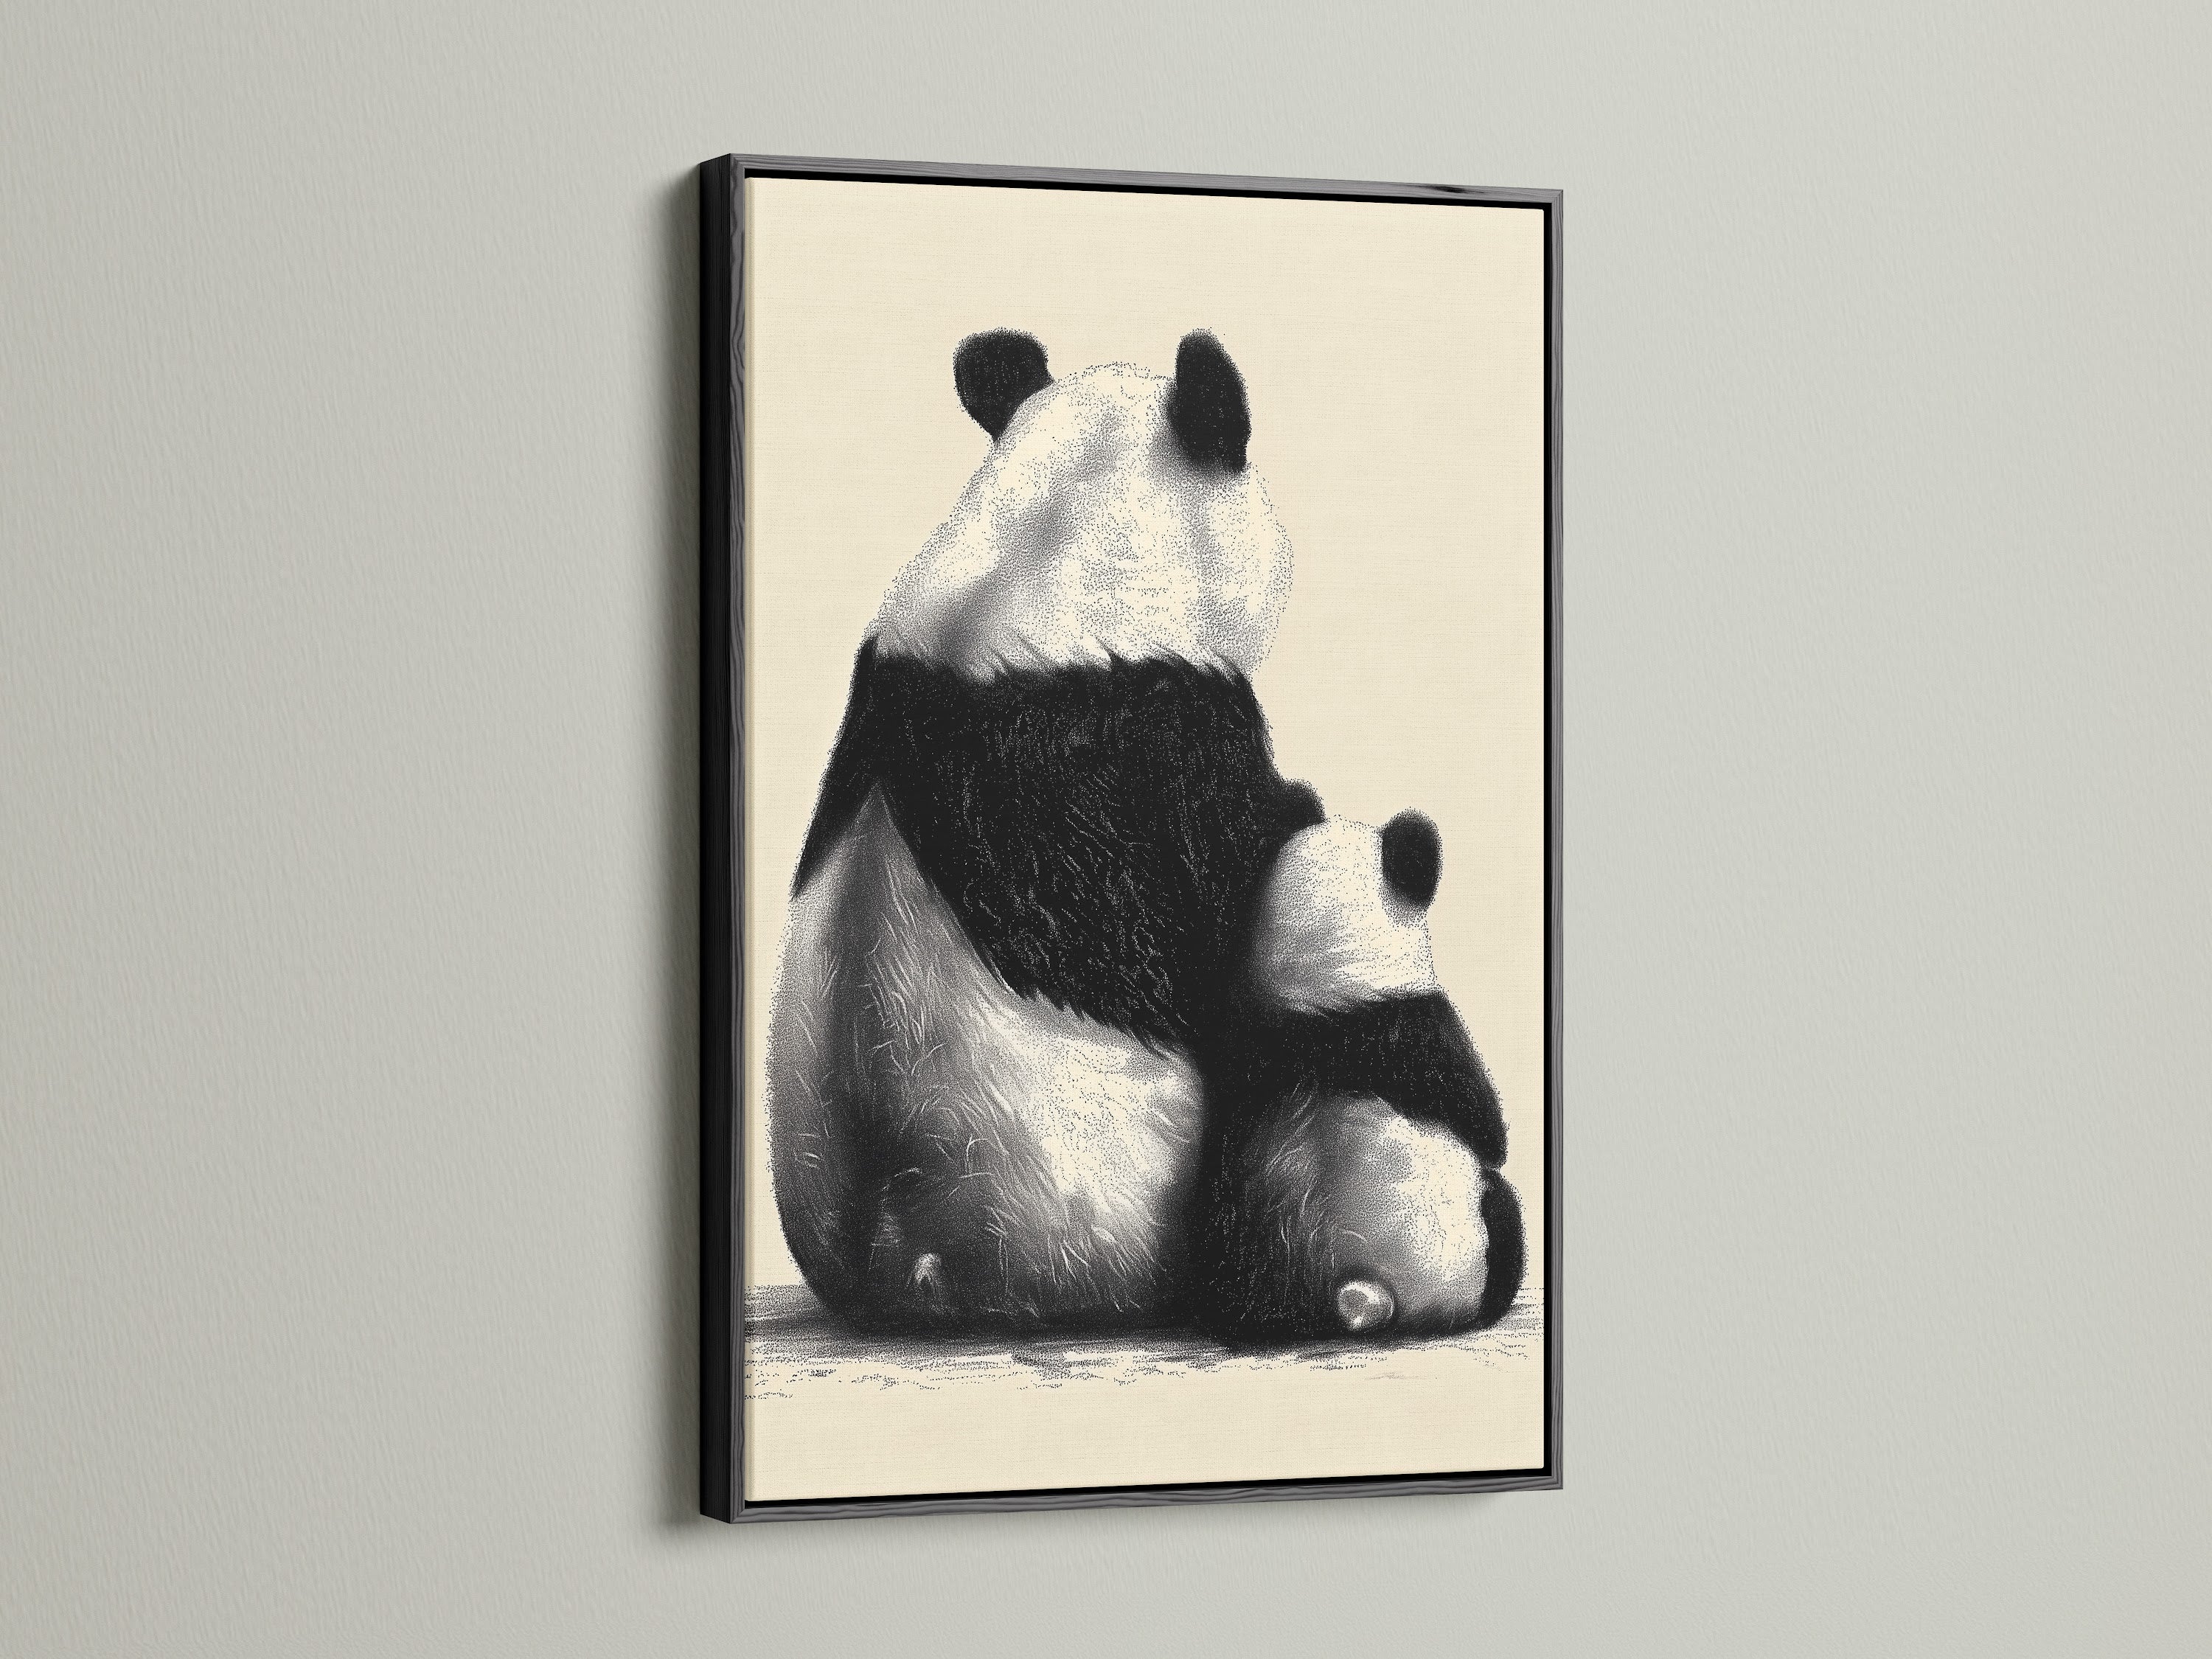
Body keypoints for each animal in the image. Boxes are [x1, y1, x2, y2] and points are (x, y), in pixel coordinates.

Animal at [1188, 809, 1527, 1342]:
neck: (1321, 992)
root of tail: (1359, 1290)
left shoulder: (1248, 1044)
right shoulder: (1421, 1032)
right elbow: (1486, 1127)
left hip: (1244, 1239)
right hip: (1463, 1245)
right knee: (1503, 1216)